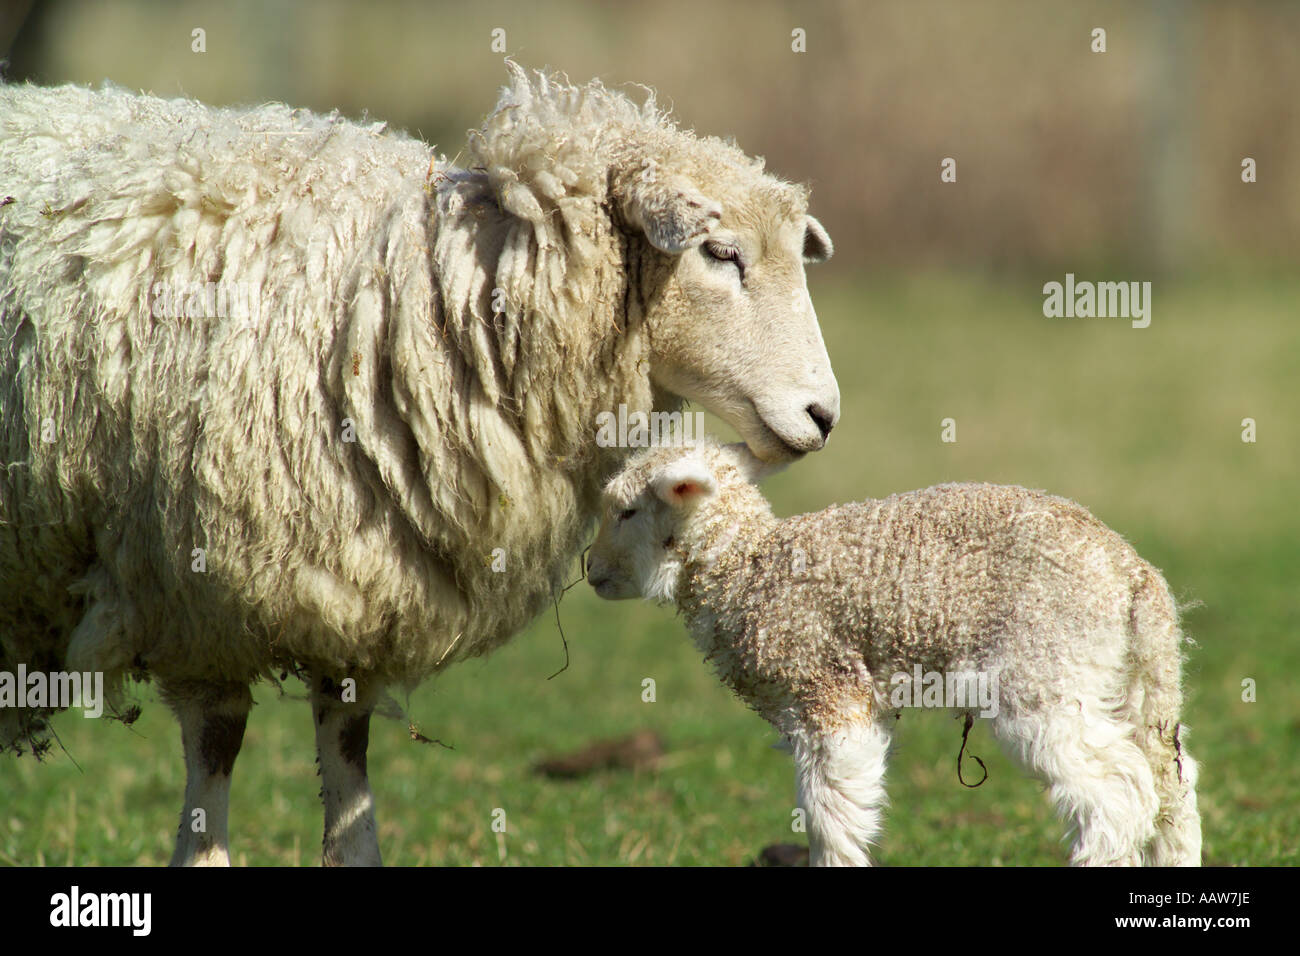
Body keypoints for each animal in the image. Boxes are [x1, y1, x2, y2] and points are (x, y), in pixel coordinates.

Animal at [0, 63, 842, 865]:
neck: (430, 300)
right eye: (721, 254)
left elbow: (347, 750)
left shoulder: (352, 590)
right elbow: (216, 749)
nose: (824, 417)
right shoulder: (191, 592)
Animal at [586, 440, 1202, 866]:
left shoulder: (826, 692)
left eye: (627, 512)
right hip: (1125, 678)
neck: (744, 566)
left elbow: (830, 811)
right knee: (1170, 783)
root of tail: (1133, 576)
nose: (591, 570)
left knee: (1116, 791)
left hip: (1046, 668)